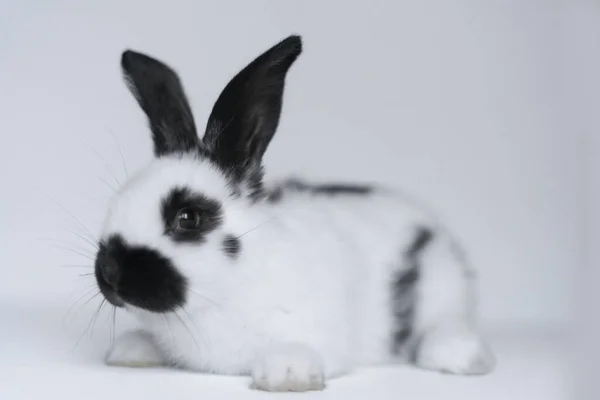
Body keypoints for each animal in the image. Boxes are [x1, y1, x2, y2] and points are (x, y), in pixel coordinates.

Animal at [96, 34, 494, 390]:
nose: (110, 272)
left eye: (188, 217)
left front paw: (287, 373)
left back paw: (461, 356)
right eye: (116, 201)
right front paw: (131, 352)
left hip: (443, 291)